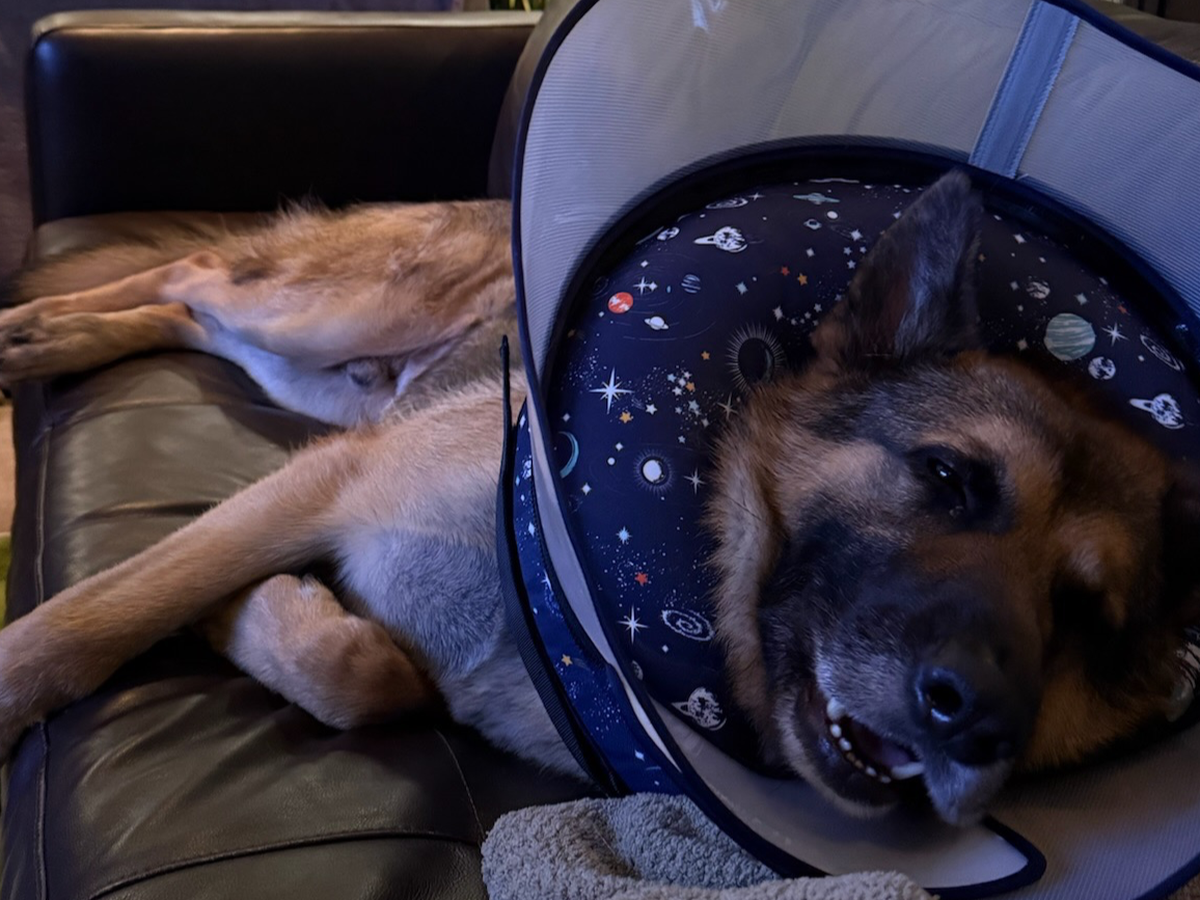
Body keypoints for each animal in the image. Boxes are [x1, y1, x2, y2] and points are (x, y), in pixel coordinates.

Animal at [0, 172, 1195, 828]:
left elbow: (367, 678)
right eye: (948, 478)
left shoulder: (344, 509)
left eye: (1089, 619)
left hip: (323, 381)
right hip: (333, 322)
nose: (983, 721)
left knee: (194, 306)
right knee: (197, 272)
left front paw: (255, 618)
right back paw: (33, 325)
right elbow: (95, 618)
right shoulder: (323, 481)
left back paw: (63, 334)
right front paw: (25, 678)